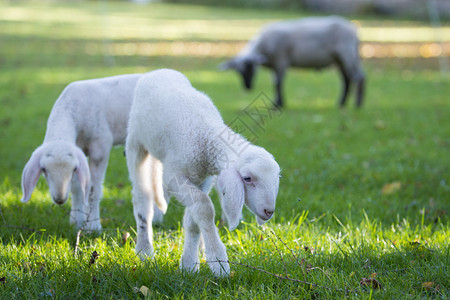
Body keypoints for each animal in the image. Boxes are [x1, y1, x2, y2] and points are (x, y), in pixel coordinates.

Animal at [20, 72, 165, 232]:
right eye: (44, 170)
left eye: (73, 169)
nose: (60, 199)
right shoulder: (79, 151)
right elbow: (77, 188)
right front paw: (76, 222)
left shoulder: (100, 147)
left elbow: (93, 191)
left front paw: (93, 226)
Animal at [126, 68, 282, 276]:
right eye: (247, 178)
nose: (269, 211)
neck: (206, 137)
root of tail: (159, 71)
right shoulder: (174, 175)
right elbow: (204, 207)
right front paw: (218, 260)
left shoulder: (203, 178)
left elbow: (193, 219)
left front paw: (189, 263)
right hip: (136, 143)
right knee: (142, 198)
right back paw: (144, 250)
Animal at [221, 15, 366, 109]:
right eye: (238, 72)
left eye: (251, 68)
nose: (247, 87)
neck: (263, 46)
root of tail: (353, 29)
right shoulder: (274, 65)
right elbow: (275, 83)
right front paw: (276, 103)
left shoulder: (281, 60)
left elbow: (278, 83)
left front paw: (278, 105)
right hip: (340, 59)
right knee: (347, 79)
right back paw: (341, 104)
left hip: (347, 54)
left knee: (358, 77)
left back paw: (358, 104)